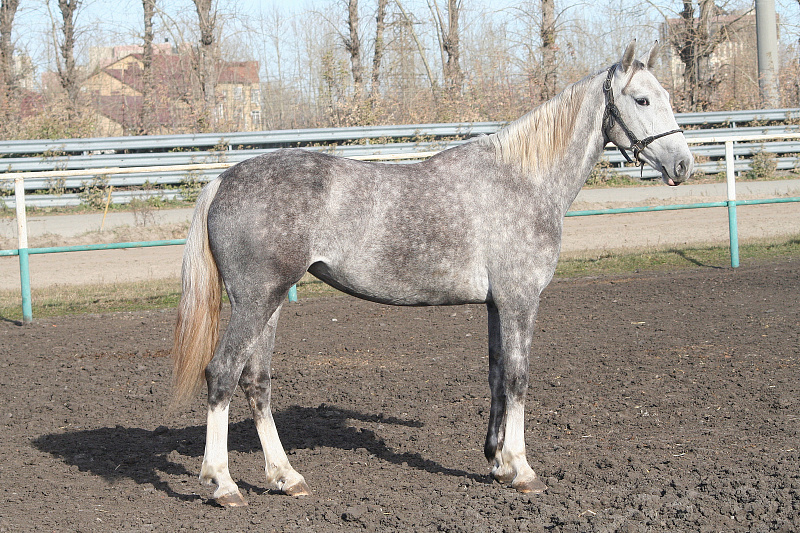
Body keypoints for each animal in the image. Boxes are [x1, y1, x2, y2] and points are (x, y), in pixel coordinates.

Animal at [171, 40, 693, 507]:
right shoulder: (520, 300)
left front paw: (497, 461)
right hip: (256, 301)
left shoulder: (496, 304)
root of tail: (223, 181)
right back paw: (223, 484)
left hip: (270, 301)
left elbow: (496, 374)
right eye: (642, 100)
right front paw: (522, 470)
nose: (684, 164)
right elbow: (518, 378)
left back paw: (286, 477)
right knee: (222, 374)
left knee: (256, 382)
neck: (524, 179)